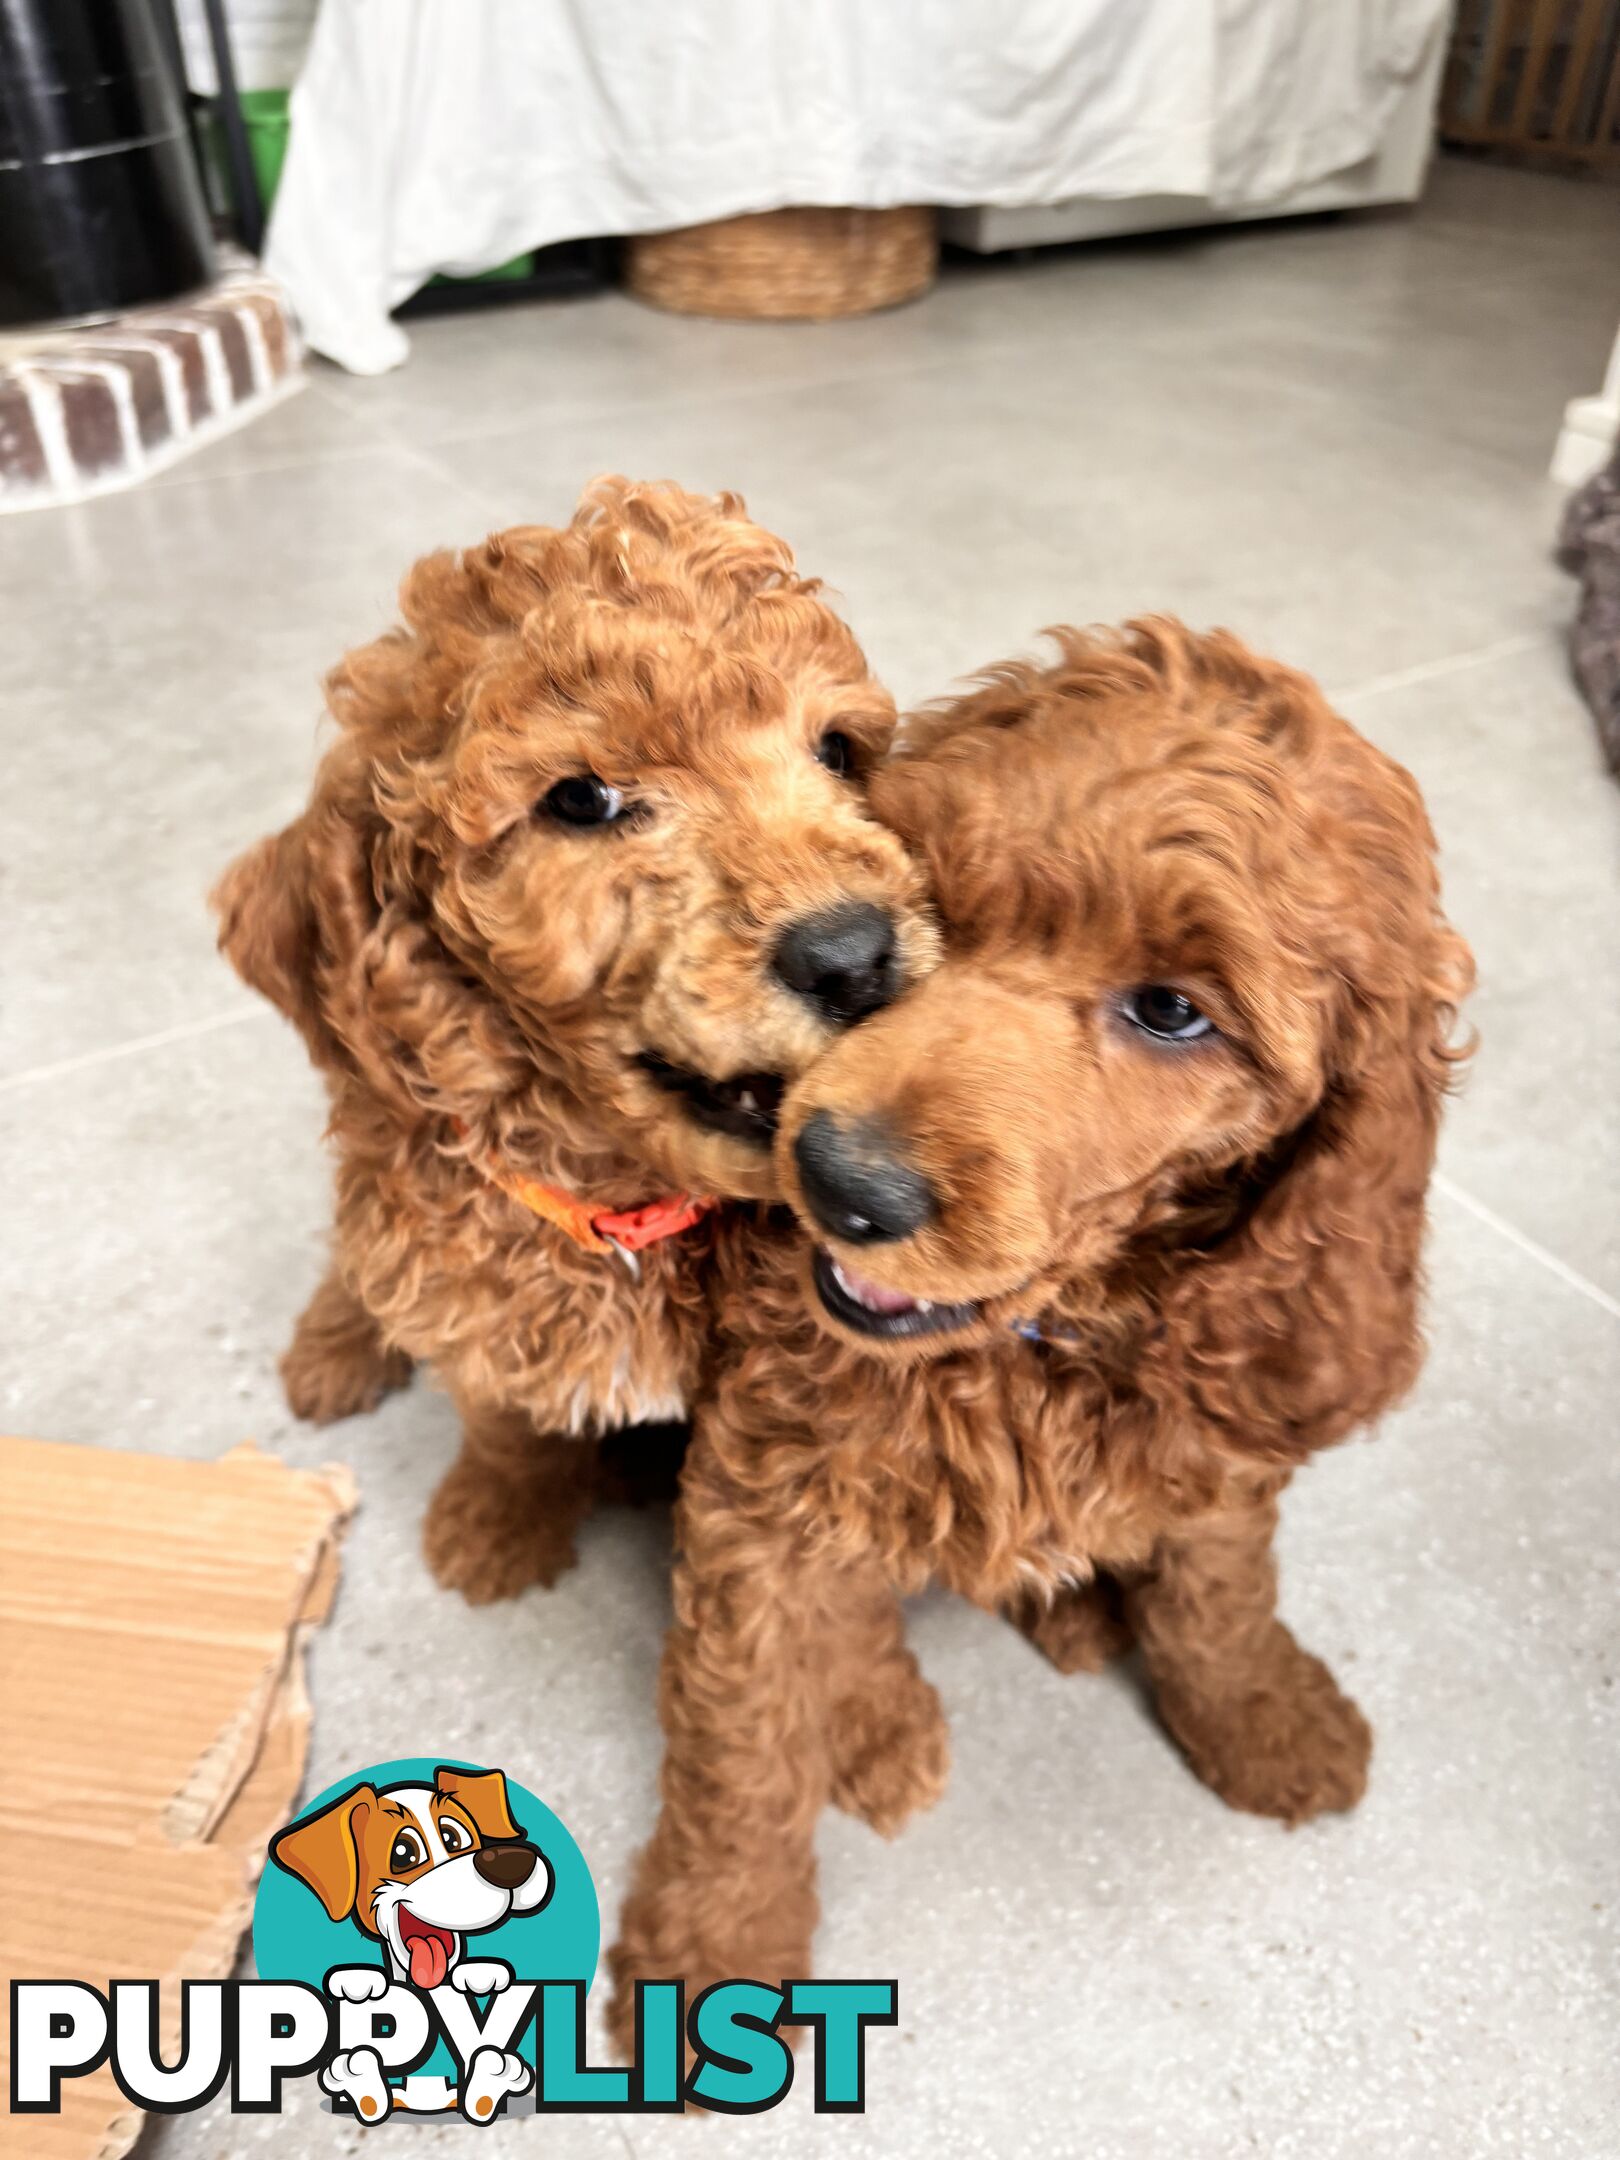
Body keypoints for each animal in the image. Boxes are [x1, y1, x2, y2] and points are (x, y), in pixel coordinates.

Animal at [213, 481, 937, 1615]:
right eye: (581, 799)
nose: (854, 954)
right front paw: (495, 1525)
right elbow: (505, 1423)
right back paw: (335, 1346)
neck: (624, 1210)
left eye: (835, 752)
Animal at [609, 622, 1468, 2021]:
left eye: (1173, 1010)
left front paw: (1263, 1713)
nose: (840, 1180)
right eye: (936, 902)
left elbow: (1221, 1586)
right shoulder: (760, 1493)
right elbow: (744, 1740)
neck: (1031, 1346)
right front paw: (719, 1951)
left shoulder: (1219, 1411)